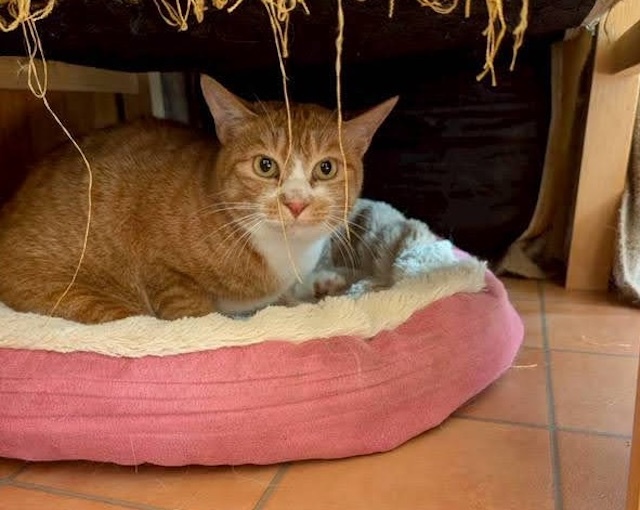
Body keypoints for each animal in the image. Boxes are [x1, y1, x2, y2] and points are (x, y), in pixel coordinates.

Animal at [0, 75, 397, 324]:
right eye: (265, 165)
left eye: (326, 168)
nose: (296, 203)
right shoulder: (161, 269)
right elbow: (201, 314)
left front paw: (320, 282)